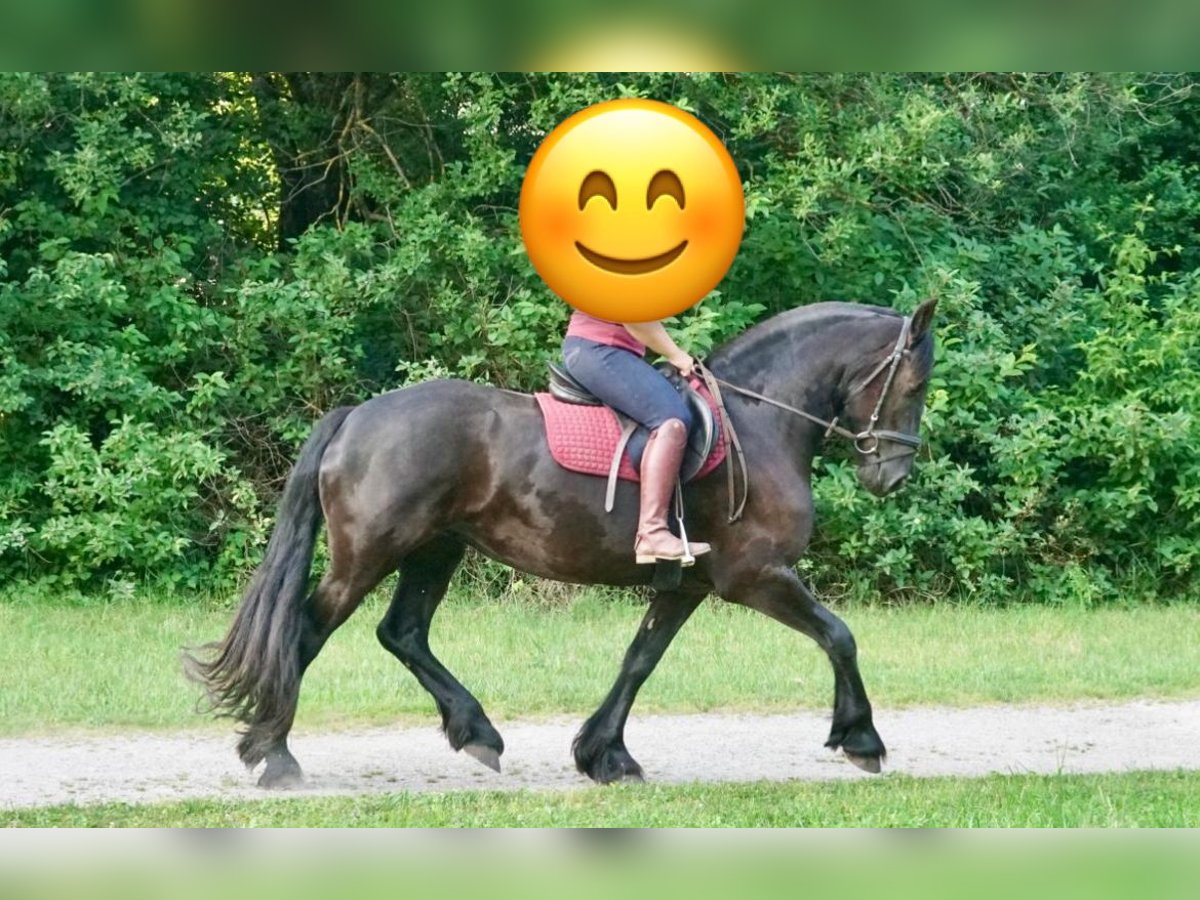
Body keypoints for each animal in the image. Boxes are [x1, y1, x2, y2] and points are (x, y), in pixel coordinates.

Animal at [186, 298, 938, 787]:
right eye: (914, 382)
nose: (893, 475)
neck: (757, 421)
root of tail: (355, 417)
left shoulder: (690, 583)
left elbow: (639, 661)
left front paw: (604, 755)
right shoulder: (756, 576)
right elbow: (839, 636)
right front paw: (862, 738)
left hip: (436, 549)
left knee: (402, 632)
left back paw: (476, 734)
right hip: (368, 555)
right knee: (307, 632)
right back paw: (274, 756)